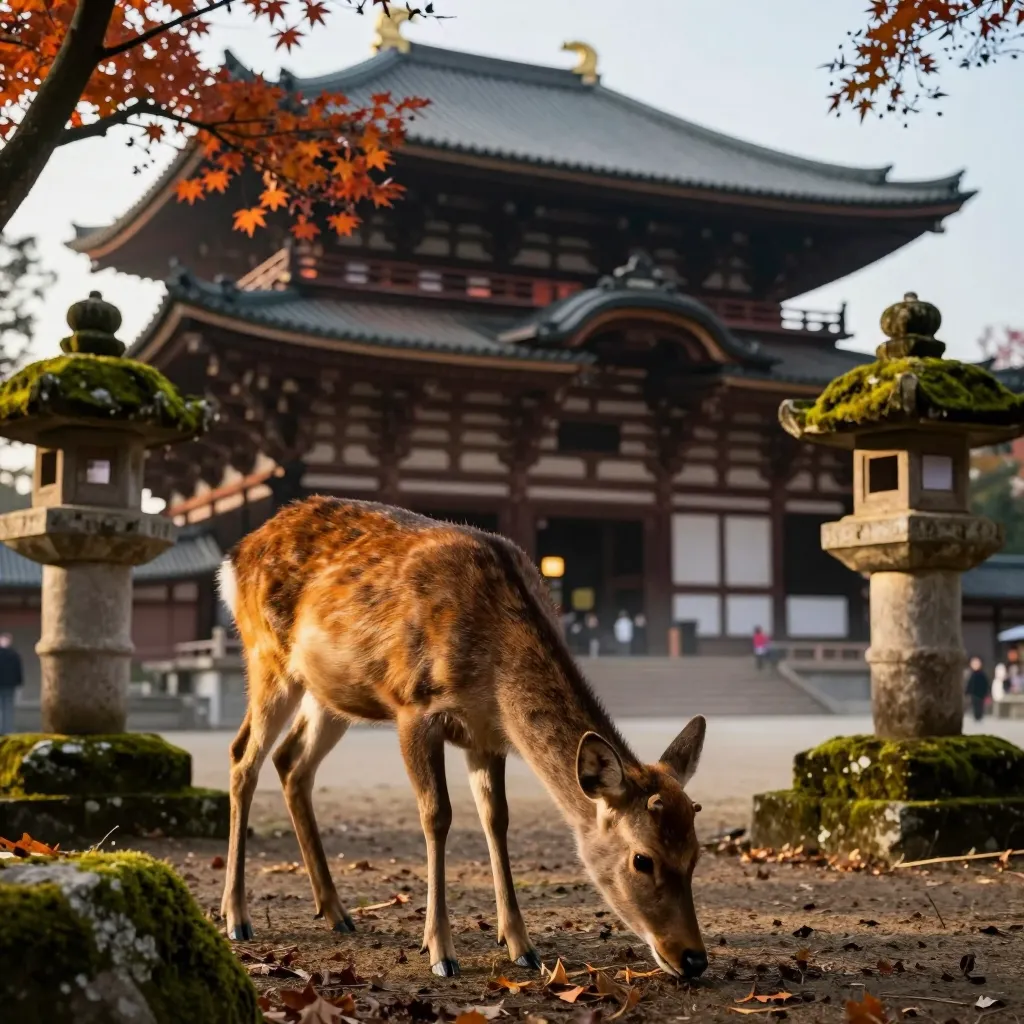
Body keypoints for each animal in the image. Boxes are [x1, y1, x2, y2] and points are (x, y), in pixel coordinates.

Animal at [217, 496, 708, 980]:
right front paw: (440, 951)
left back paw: (336, 911)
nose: (694, 958)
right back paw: (236, 916)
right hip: (267, 656)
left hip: (332, 692)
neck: (495, 678)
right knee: (243, 755)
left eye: (696, 854)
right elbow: (437, 815)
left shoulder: (486, 735)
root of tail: (234, 556)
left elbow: (497, 819)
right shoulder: (414, 706)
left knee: (291, 761)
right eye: (642, 858)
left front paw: (521, 946)